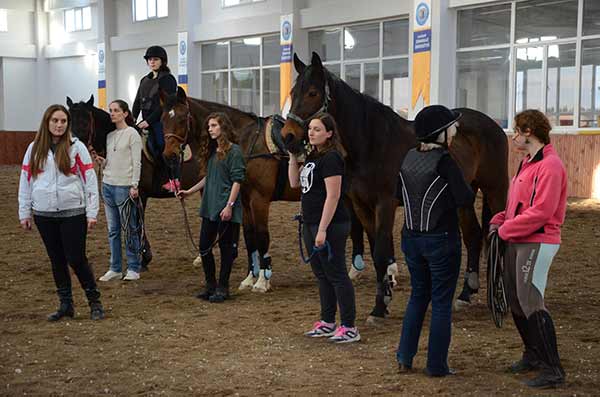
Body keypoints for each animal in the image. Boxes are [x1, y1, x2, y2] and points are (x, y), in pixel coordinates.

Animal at [284, 52, 508, 324]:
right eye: (292, 92)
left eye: (313, 93)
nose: (287, 136)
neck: (370, 142)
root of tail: (492, 125)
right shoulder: (362, 205)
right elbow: (376, 250)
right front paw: (385, 297)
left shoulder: (385, 203)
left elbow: (381, 251)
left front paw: (379, 308)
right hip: (463, 196)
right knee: (473, 235)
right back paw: (466, 294)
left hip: (495, 189)